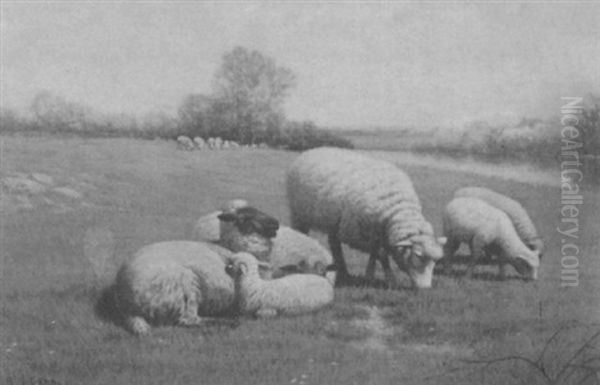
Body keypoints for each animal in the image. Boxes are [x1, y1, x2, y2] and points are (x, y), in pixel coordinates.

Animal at [286, 147, 446, 288]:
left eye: (435, 262)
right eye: (418, 256)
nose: (425, 288)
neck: (396, 209)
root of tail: (312, 150)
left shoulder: (377, 235)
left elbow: (376, 254)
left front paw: (375, 276)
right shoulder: (361, 233)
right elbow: (380, 255)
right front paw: (384, 278)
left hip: (334, 221)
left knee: (334, 242)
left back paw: (344, 272)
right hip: (298, 214)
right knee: (302, 234)